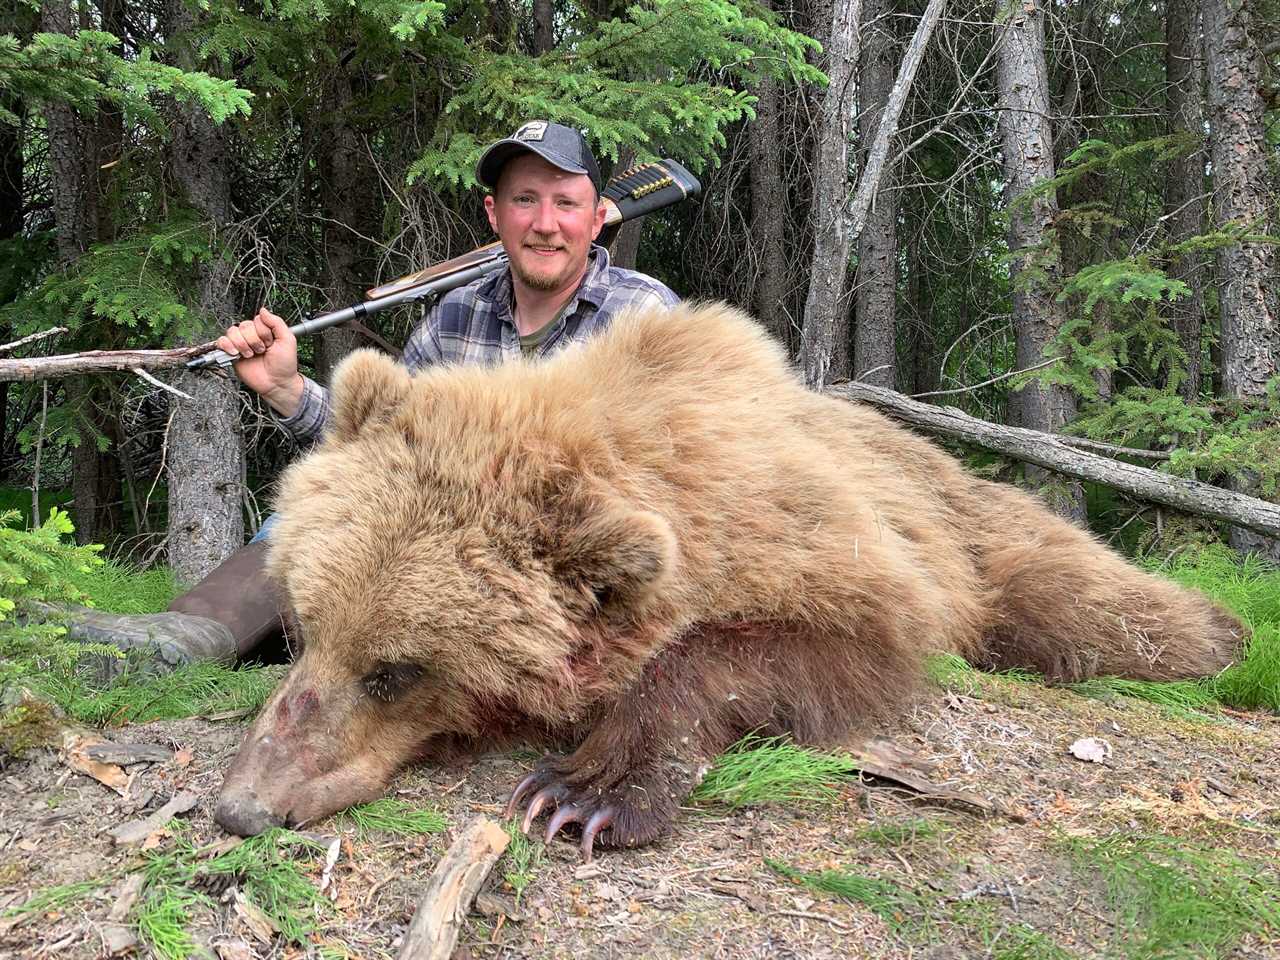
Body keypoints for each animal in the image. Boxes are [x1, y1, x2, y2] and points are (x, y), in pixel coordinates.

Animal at [215, 302, 1244, 855]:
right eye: (306, 627)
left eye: (395, 671)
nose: (242, 806)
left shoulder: (829, 548)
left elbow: (793, 648)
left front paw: (582, 792)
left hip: (978, 534)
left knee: (1099, 611)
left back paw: (1226, 634)